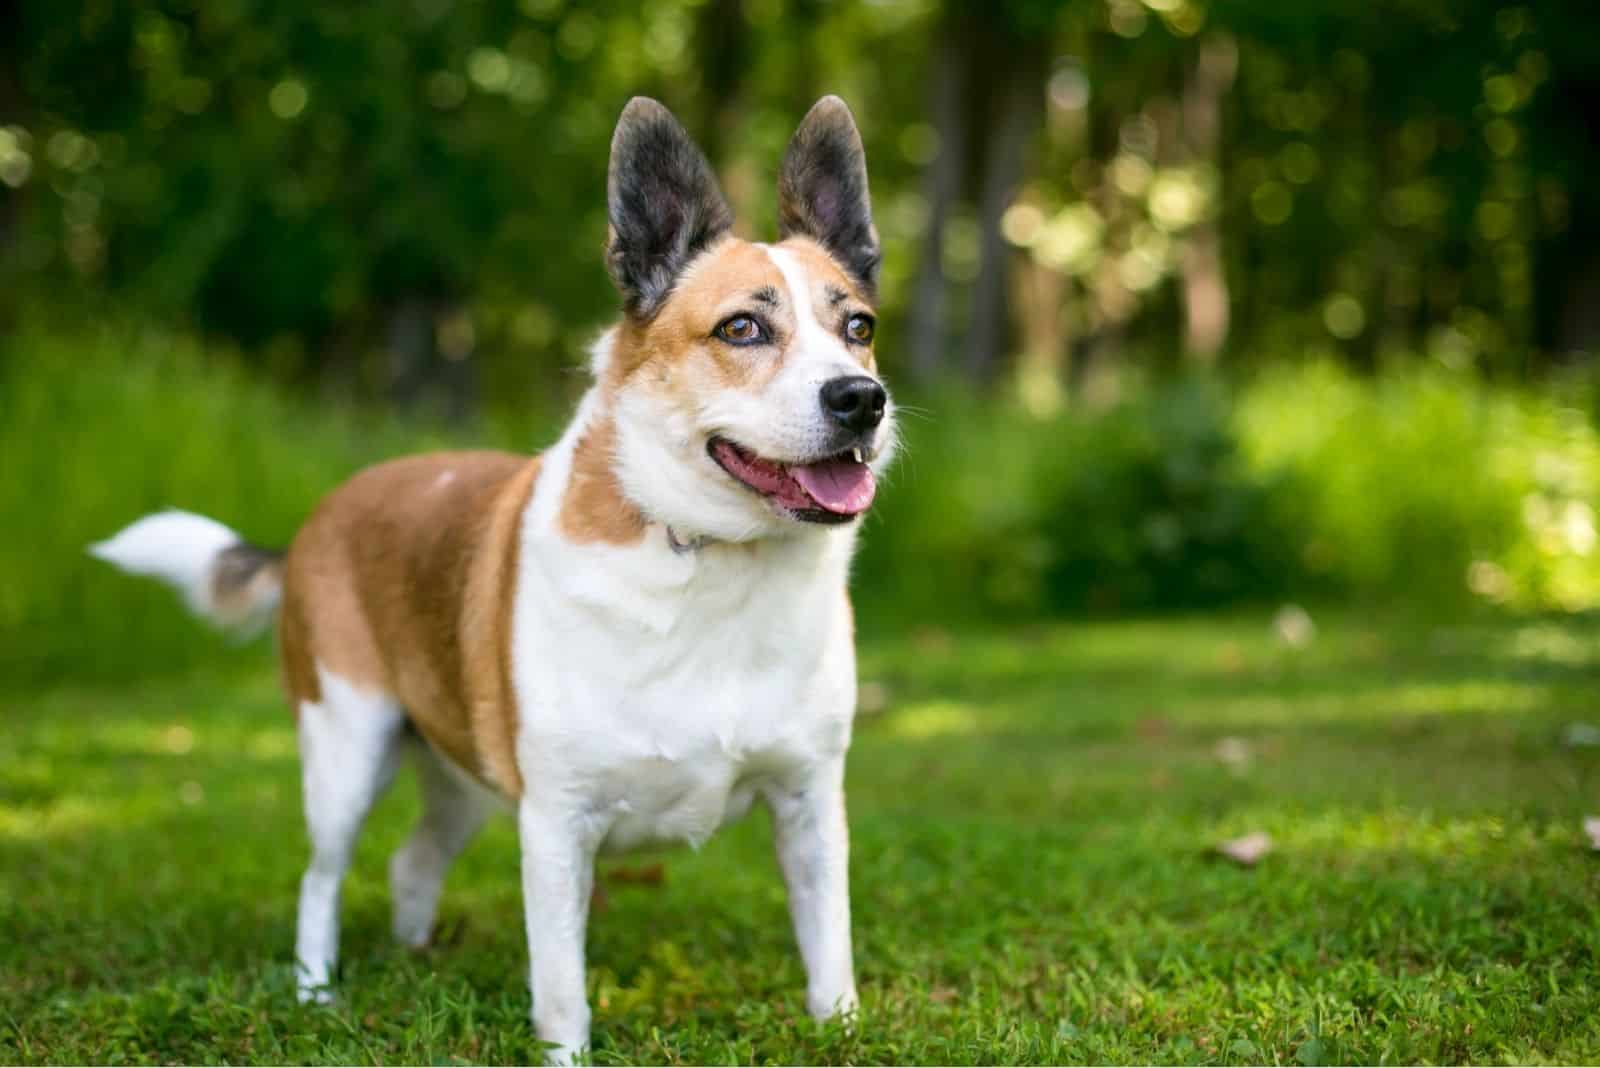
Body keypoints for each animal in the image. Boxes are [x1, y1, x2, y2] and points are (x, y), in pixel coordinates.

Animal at [90, 95, 902, 1061]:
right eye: (742, 328)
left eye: (858, 328)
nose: (861, 400)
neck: (708, 556)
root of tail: (324, 513)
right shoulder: (554, 823)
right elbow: (560, 990)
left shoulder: (810, 805)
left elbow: (830, 950)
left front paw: (843, 1032)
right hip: (348, 753)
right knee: (321, 878)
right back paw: (318, 992)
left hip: (462, 778)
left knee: (411, 860)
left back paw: (415, 959)